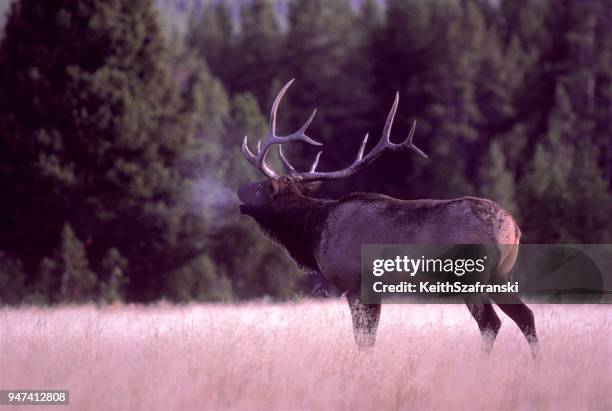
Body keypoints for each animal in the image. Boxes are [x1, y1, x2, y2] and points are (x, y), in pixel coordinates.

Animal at [237, 79, 536, 358]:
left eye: (262, 187)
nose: (239, 192)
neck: (315, 231)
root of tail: (514, 228)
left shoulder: (354, 283)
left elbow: (363, 339)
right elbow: (370, 338)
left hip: (473, 276)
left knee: (491, 323)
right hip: (502, 274)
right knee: (525, 316)